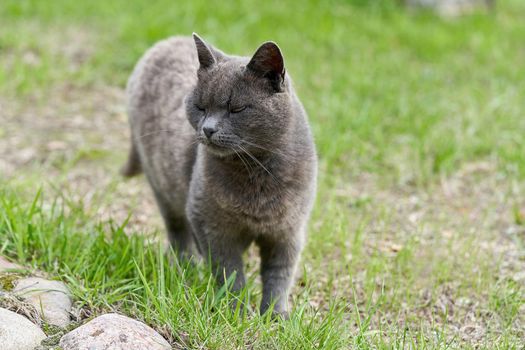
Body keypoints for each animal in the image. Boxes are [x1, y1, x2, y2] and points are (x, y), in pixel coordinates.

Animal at [122, 33, 318, 318]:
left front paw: (275, 316)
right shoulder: (210, 224)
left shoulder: (288, 232)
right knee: (179, 232)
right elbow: (229, 271)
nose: (208, 128)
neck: (256, 170)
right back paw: (187, 270)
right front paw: (235, 312)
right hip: (164, 187)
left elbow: (279, 275)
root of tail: (165, 41)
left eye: (236, 109)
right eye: (200, 107)